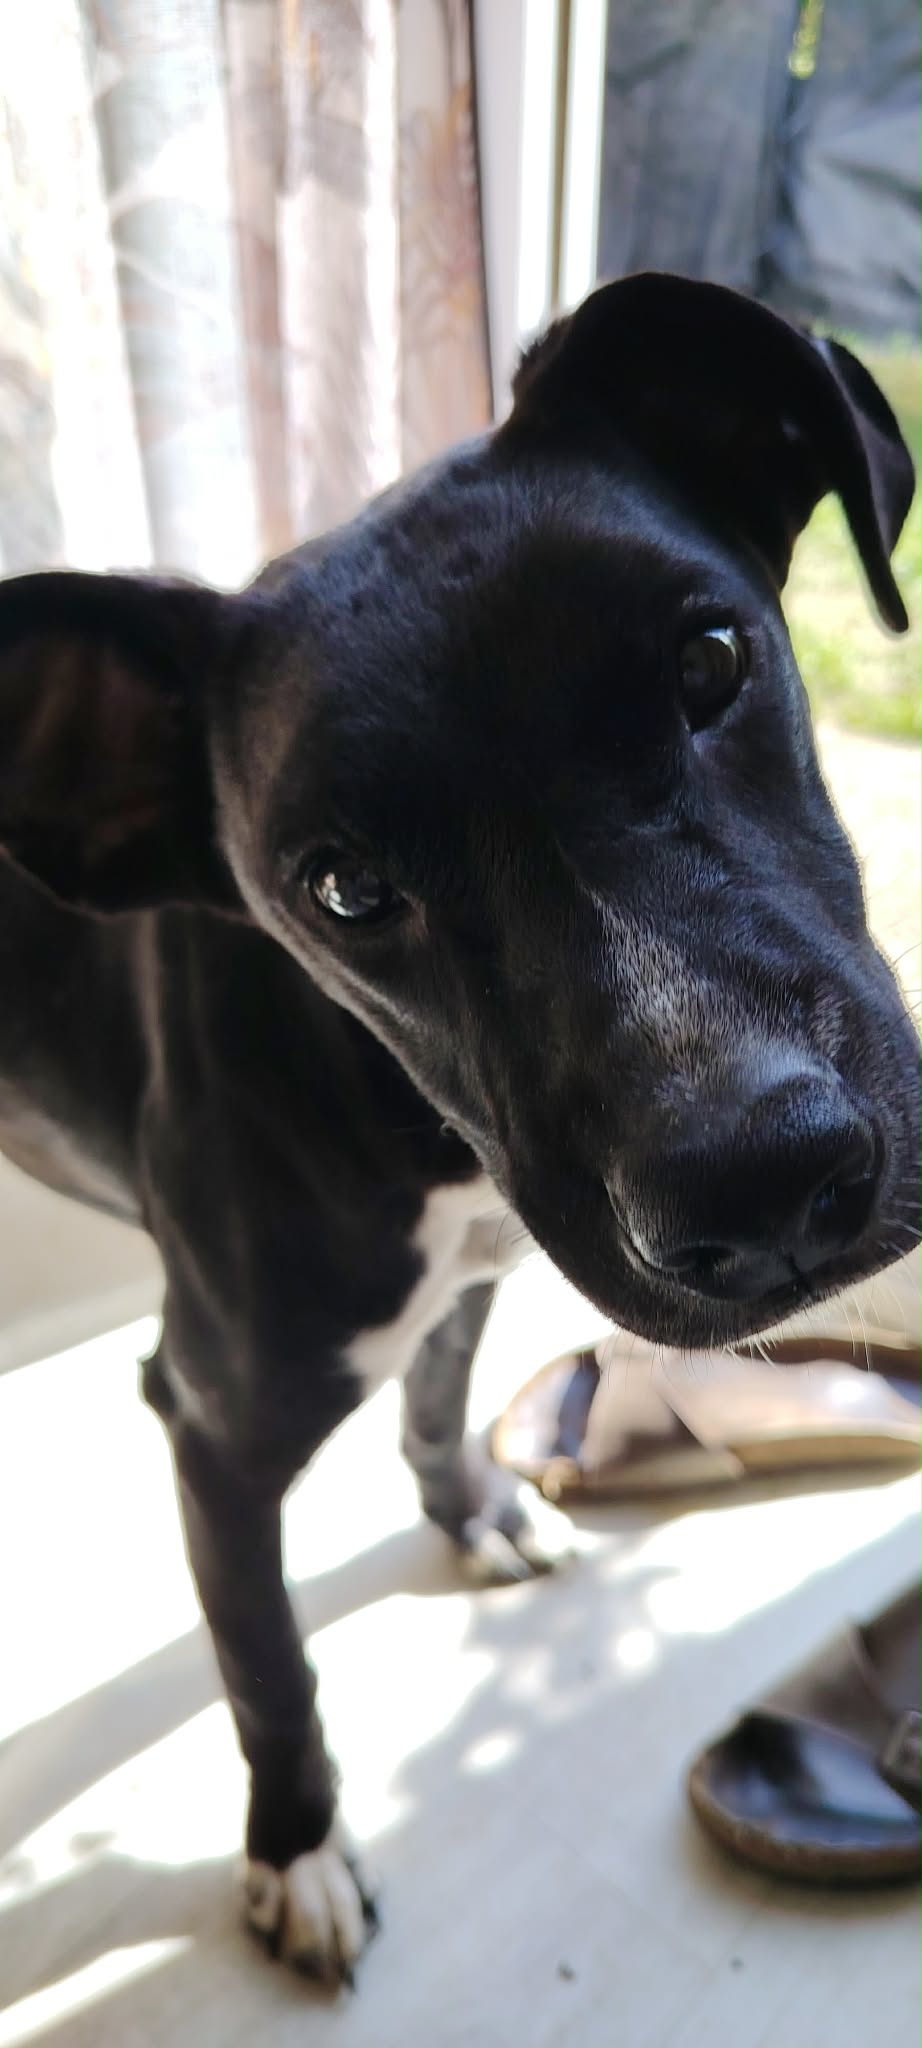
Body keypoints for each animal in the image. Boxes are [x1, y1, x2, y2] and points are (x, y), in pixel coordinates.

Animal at [1, 273, 920, 1984]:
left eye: (710, 661)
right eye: (341, 886)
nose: (760, 1185)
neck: (405, 1123)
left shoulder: (488, 1256)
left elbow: (433, 1398)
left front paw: (471, 1513)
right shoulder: (209, 1422)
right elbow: (267, 1660)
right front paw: (295, 1848)